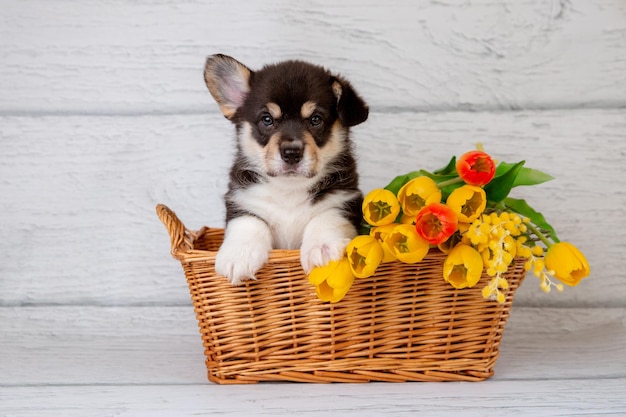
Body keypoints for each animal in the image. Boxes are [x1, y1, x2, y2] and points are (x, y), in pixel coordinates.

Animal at [202, 53, 368, 284]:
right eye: (267, 119)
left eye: (315, 119)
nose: (291, 152)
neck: (289, 188)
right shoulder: (241, 201)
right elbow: (249, 222)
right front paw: (239, 256)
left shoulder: (344, 199)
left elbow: (326, 218)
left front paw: (322, 249)